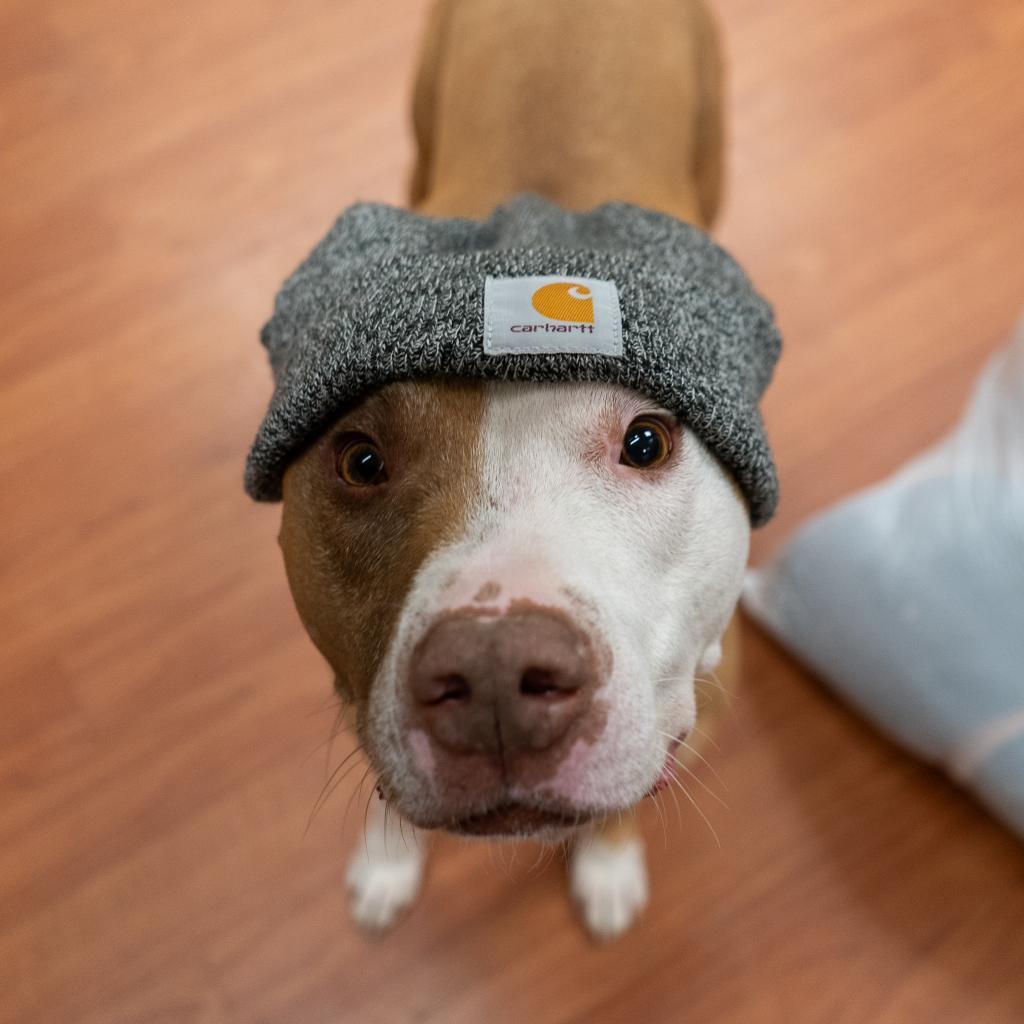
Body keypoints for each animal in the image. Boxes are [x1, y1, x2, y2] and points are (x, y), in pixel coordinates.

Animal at [278, 0, 753, 937]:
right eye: (360, 459)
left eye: (647, 442)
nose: (496, 676)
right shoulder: (353, 692)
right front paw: (387, 861)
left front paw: (608, 862)